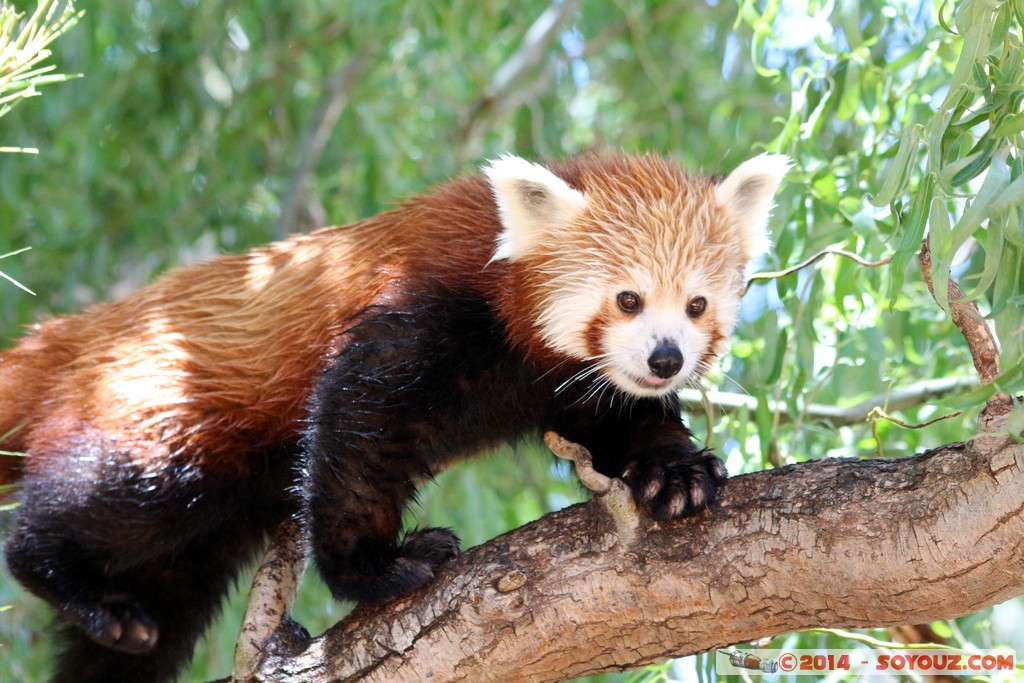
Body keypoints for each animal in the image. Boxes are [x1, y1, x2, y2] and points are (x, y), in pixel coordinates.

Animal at [0, 150, 782, 683]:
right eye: (627, 299)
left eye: (697, 305)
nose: (665, 359)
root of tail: (77, 332)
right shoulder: (417, 313)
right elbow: (356, 431)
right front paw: (377, 566)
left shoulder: (573, 383)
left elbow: (624, 421)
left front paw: (676, 472)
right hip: (160, 423)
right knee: (98, 504)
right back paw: (66, 577)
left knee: (163, 598)